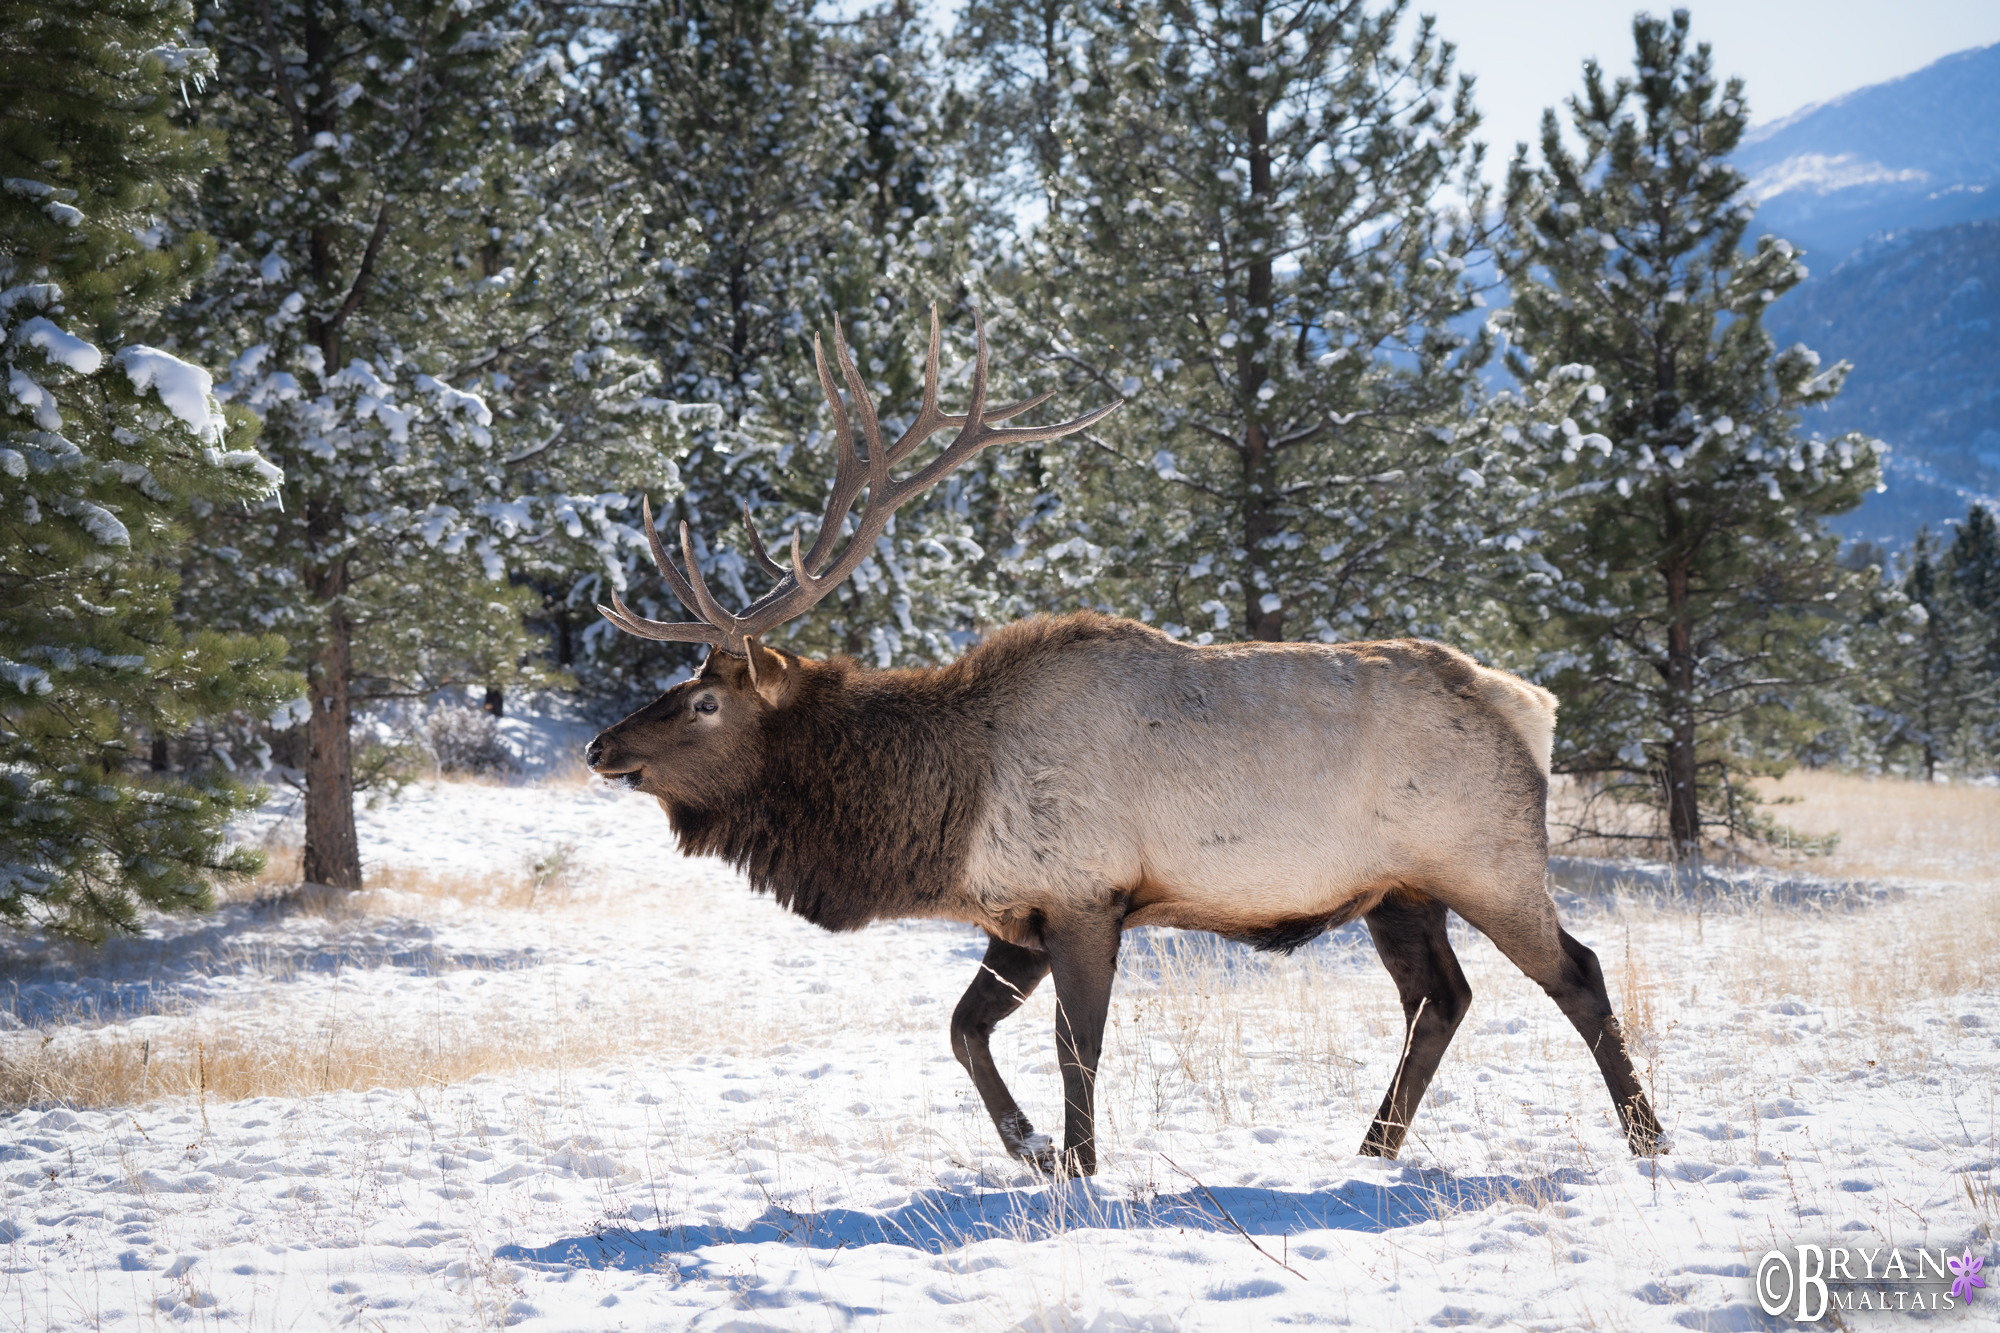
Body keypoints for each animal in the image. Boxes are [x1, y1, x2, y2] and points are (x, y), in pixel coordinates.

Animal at [584, 304, 1664, 1176]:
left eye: (704, 700)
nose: (601, 746)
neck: (942, 804)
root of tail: (1530, 704)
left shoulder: (1085, 897)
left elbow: (1076, 1046)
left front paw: (1076, 1159)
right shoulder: (1017, 913)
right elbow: (963, 1030)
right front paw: (1029, 1145)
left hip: (1487, 860)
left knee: (1575, 973)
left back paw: (1646, 1137)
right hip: (1398, 891)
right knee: (1440, 998)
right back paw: (1371, 1148)